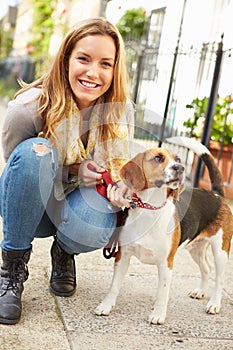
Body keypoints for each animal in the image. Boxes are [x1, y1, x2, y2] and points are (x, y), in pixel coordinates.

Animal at [95, 137, 233, 326]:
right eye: (158, 158)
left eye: (178, 159)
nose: (180, 168)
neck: (151, 208)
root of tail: (217, 195)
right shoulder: (122, 256)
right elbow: (114, 286)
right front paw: (106, 306)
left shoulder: (166, 263)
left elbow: (162, 292)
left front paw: (158, 315)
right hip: (195, 249)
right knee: (206, 269)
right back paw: (200, 292)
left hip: (220, 251)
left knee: (219, 279)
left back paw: (214, 304)